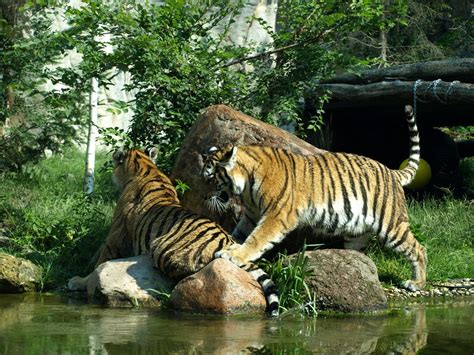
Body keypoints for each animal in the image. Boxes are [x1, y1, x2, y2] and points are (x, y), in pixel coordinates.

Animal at [68, 149, 280, 316]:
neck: (145, 166)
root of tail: (227, 241)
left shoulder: (116, 234)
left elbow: (99, 262)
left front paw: (78, 281)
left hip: (161, 247)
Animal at [202, 103, 428, 292]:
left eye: (211, 178)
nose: (204, 198)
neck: (246, 187)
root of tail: (391, 171)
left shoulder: (276, 216)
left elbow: (256, 239)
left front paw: (235, 254)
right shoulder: (251, 215)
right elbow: (240, 232)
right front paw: (230, 244)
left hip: (391, 223)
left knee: (419, 249)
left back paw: (416, 283)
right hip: (357, 231)